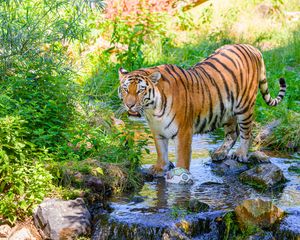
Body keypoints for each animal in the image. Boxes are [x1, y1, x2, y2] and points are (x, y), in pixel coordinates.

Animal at [117, 43, 286, 174]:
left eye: (140, 91)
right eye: (125, 89)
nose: (129, 104)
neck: (153, 111)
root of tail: (253, 48)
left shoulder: (184, 131)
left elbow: (182, 157)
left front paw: (180, 175)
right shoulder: (157, 131)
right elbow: (161, 152)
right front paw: (160, 168)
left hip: (244, 107)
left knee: (247, 133)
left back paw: (240, 154)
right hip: (226, 110)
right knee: (233, 133)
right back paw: (220, 153)